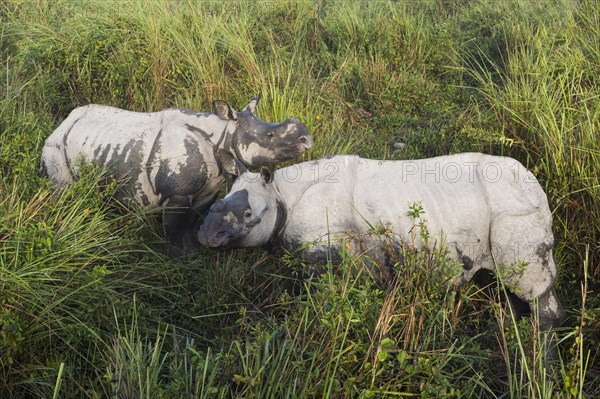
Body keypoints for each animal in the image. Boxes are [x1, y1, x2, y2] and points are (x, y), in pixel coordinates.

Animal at [41, 95, 312, 255]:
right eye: (270, 136)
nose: (307, 139)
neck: (224, 133)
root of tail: (63, 122)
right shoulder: (177, 192)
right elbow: (173, 226)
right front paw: (176, 258)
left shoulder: (208, 189)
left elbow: (191, 221)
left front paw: (193, 252)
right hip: (55, 146)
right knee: (63, 192)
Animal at [199, 153, 564, 332]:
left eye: (248, 214)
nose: (204, 236)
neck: (280, 193)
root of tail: (536, 186)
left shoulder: (325, 251)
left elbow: (323, 302)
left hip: (515, 209)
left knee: (530, 287)